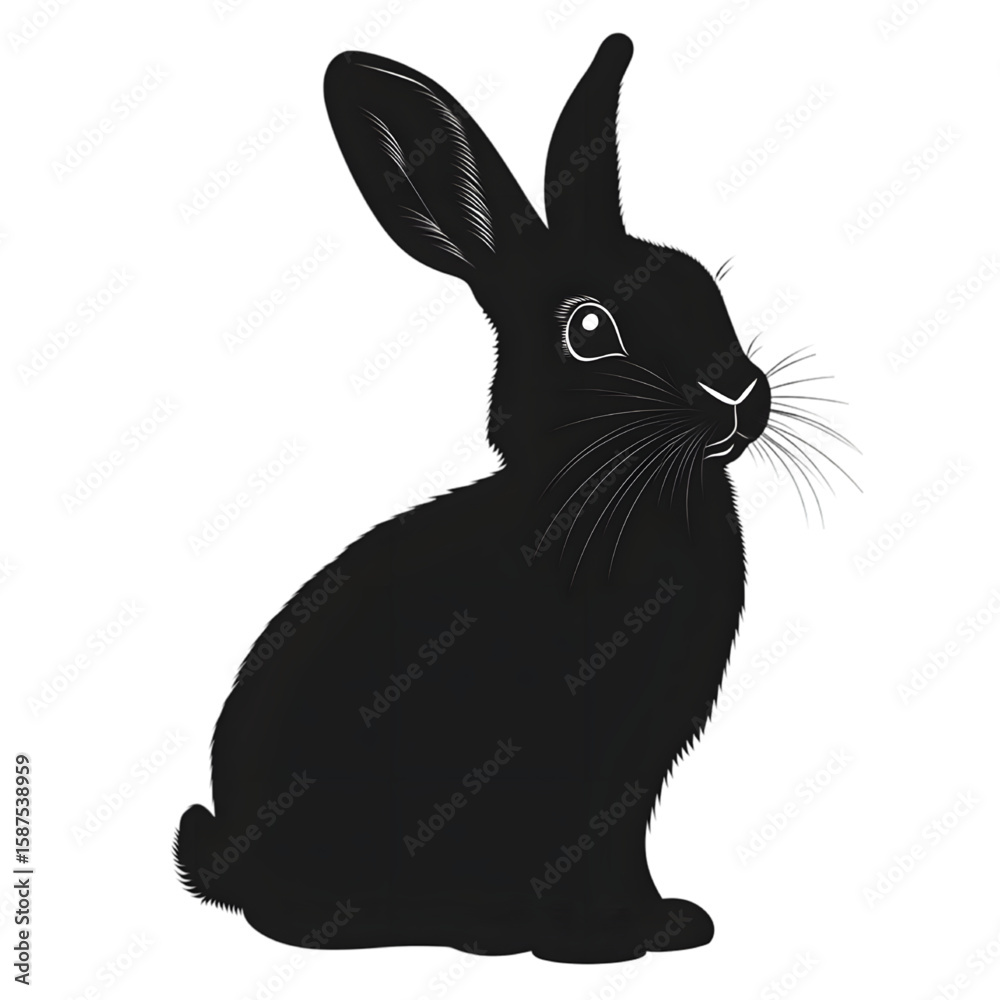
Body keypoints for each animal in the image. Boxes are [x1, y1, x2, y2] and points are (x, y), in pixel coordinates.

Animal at [175, 33, 773, 964]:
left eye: (699, 283)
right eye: (590, 330)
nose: (739, 394)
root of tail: (223, 859)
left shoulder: (634, 775)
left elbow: (622, 845)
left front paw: (669, 926)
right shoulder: (570, 760)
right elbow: (575, 841)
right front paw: (593, 947)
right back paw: (472, 927)